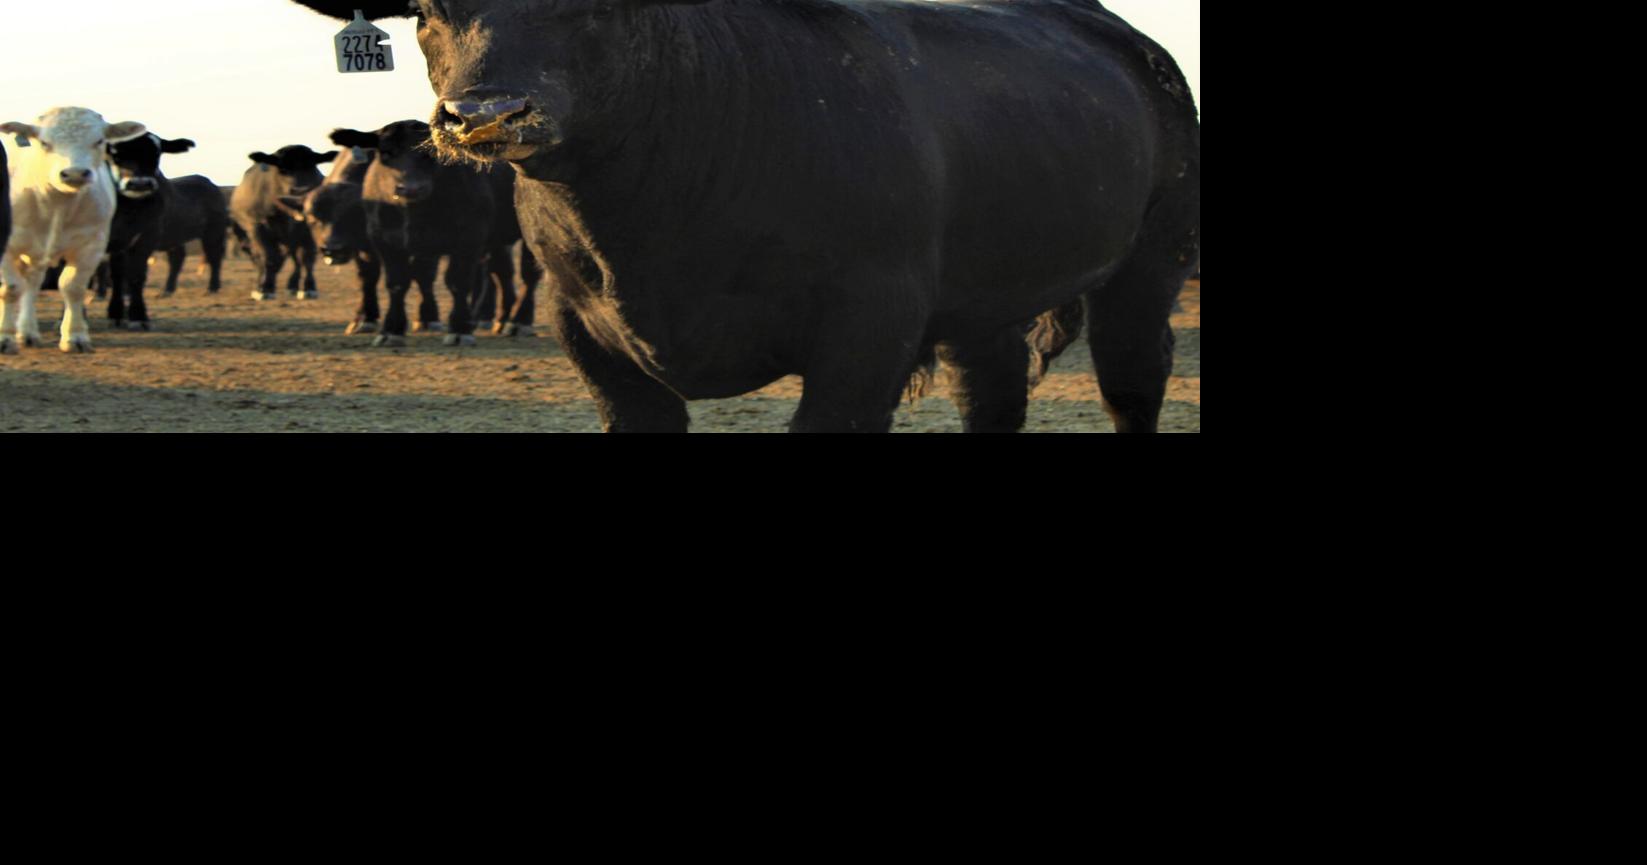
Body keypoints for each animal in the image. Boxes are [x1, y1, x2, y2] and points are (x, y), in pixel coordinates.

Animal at [2, 107, 147, 355]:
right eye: (44, 143)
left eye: (99, 141)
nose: (75, 173)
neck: (55, 204)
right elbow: (10, 288)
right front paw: (5, 338)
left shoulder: (92, 245)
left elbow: (73, 287)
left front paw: (75, 336)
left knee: (32, 284)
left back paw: (28, 332)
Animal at [103, 134, 232, 329]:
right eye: (115, 154)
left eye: (157, 153)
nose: (140, 183)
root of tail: (212, 185)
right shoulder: (116, 241)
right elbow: (117, 275)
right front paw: (115, 314)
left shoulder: (147, 238)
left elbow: (136, 275)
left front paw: (137, 317)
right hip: (176, 238)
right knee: (177, 259)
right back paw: (167, 290)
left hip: (213, 232)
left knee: (214, 256)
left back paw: (212, 287)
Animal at [229, 145, 336, 301]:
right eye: (283, 169)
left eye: (312, 167)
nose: (300, 190)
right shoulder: (259, 228)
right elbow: (269, 258)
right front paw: (265, 289)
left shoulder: (307, 231)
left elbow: (306, 259)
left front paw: (309, 288)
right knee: (261, 259)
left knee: (294, 259)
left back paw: (292, 285)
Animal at [327, 121, 492, 347]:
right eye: (386, 152)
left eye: (432, 152)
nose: (411, 189)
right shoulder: (384, 241)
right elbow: (397, 283)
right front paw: (391, 330)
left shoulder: (471, 238)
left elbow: (459, 282)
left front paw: (460, 329)